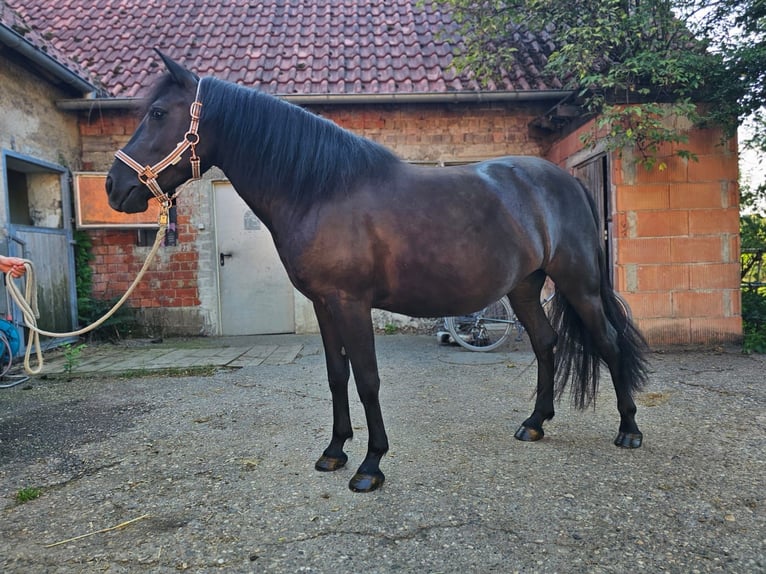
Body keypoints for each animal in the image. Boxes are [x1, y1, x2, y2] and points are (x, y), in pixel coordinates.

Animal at [106, 52, 649, 493]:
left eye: (158, 113)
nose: (114, 187)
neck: (321, 190)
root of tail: (567, 183)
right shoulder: (325, 305)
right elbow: (336, 376)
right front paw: (334, 452)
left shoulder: (351, 303)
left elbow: (367, 378)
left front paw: (371, 466)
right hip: (523, 288)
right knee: (544, 343)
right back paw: (534, 424)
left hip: (580, 285)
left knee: (608, 343)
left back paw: (629, 429)